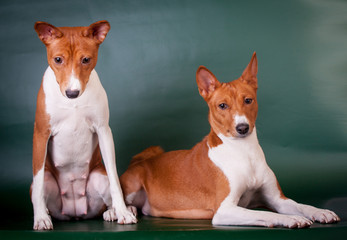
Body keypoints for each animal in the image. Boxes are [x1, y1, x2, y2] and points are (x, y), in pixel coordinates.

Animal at [31, 21, 137, 231]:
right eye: (58, 59)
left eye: (86, 59)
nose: (72, 93)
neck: (73, 103)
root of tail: (75, 213)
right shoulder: (40, 134)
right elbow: (38, 182)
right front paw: (40, 218)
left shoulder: (104, 130)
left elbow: (115, 179)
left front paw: (122, 212)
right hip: (49, 180)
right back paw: (46, 213)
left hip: (98, 177)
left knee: (107, 196)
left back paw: (114, 211)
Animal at [121, 53, 342, 229]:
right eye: (222, 105)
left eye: (248, 100)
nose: (242, 128)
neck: (244, 152)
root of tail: (142, 160)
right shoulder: (224, 209)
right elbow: (264, 213)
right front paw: (291, 219)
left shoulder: (277, 199)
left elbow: (299, 205)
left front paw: (319, 211)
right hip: (133, 182)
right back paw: (123, 210)